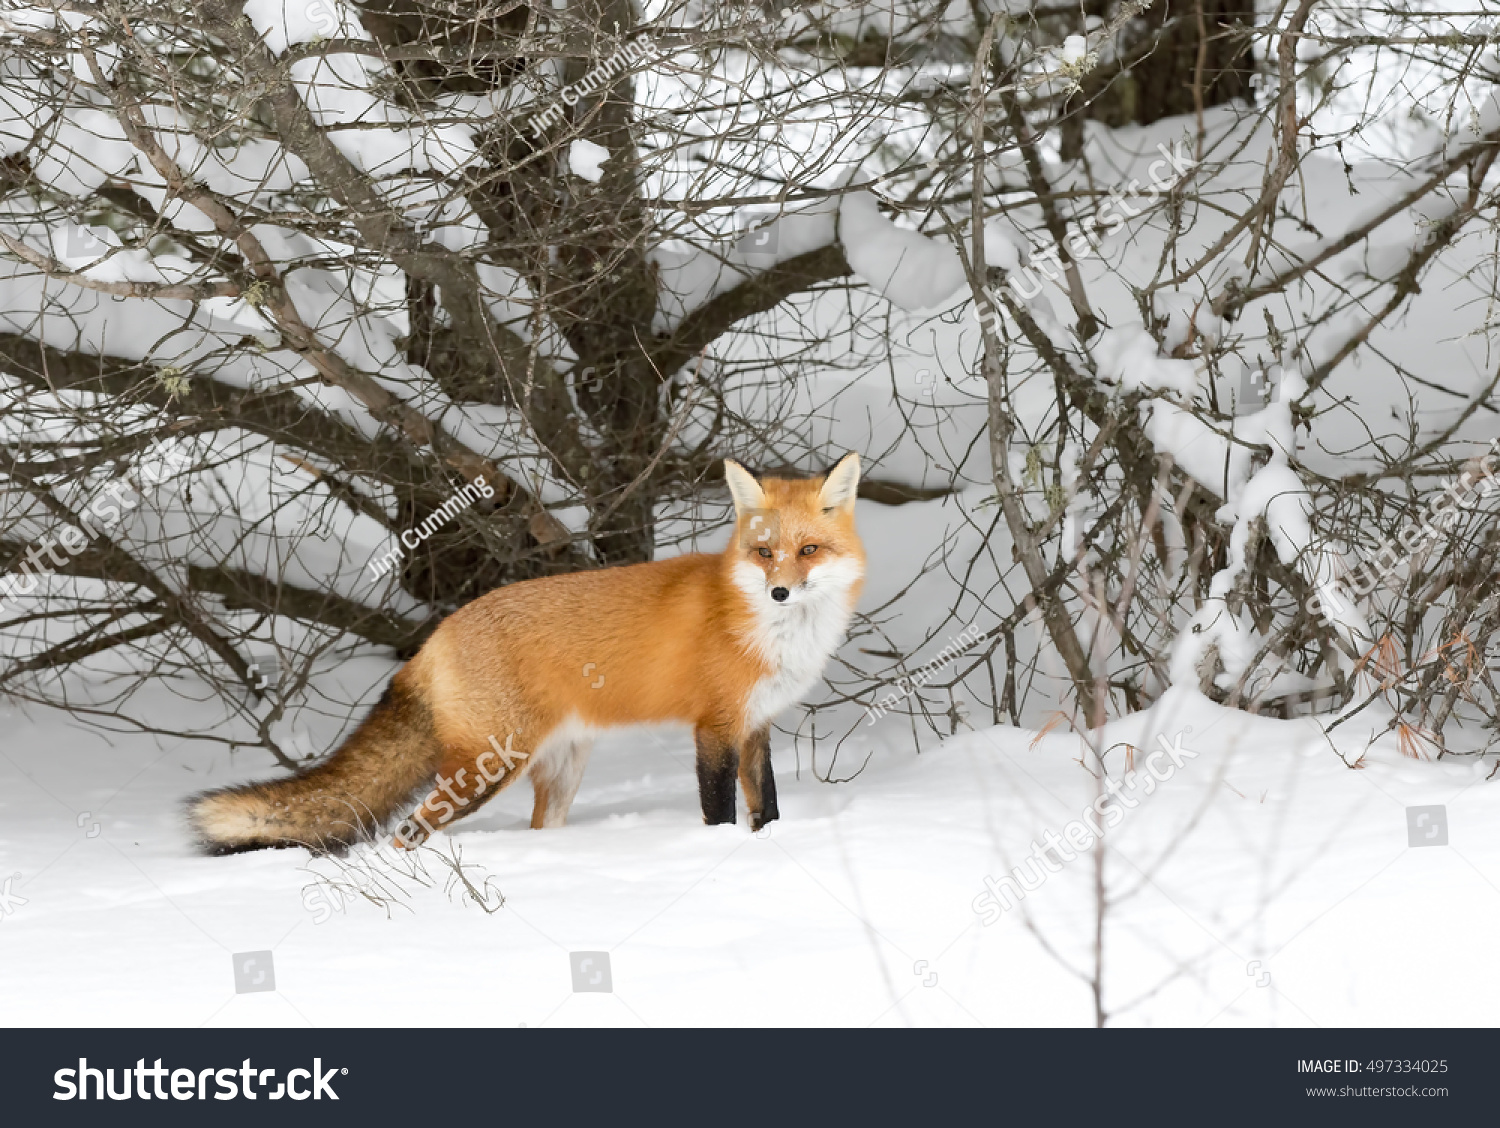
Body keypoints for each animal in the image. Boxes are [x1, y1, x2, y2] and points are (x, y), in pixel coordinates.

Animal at [188, 453, 866, 854]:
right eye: (764, 553)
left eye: (808, 550)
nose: (779, 591)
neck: (769, 631)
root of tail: (435, 636)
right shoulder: (714, 727)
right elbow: (720, 812)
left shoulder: (755, 725)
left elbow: (767, 805)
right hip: (488, 766)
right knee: (406, 832)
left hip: (559, 769)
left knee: (536, 829)